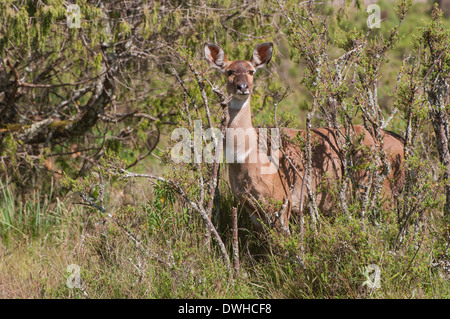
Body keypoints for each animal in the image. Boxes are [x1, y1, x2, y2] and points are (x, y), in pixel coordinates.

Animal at [204, 41, 404, 234]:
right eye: (229, 71)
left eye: (251, 70)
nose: (243, 87)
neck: (248, 158)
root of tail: (401, 142)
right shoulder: (250, 207)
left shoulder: (281, 201)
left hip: (384, 191)